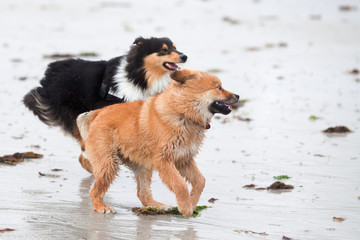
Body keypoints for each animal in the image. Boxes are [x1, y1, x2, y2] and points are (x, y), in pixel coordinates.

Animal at [76, 68, 239, 217]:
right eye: (218, 87)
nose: (237, 96)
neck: (183, 113)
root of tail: (97, 113)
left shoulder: (184, 159)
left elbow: (200, 181)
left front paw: (192, 203)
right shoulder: (164, 159)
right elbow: (180, 185)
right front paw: (185, 208)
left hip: (142, 166)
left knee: (142, 194)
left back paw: (157, 206)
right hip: (109, 163)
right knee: (94, 191)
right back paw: (101, 207)